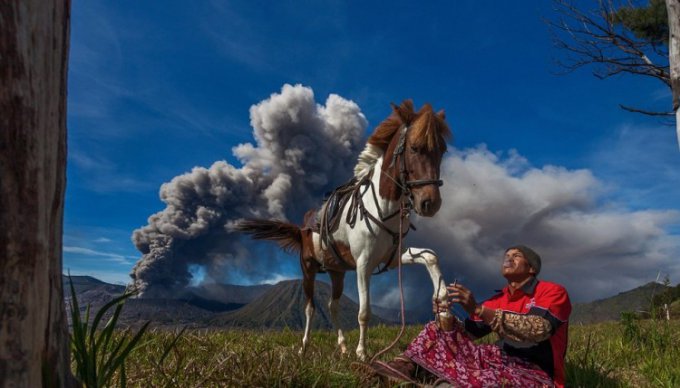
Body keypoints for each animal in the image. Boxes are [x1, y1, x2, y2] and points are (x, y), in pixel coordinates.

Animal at [236, 101, 454, 360]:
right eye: (415, 148)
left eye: (442, 151)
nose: (430, 203)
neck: (381, 208)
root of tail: (301, 229)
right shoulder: (363, 264)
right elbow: (364, 311)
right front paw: (362, 353)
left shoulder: (391, 259)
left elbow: (430, 256)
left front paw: (444, 309)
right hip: (308, 269)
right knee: (310, 308)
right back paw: (304, 347)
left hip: (337, 272)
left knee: (332, 305)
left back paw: (341, 345)